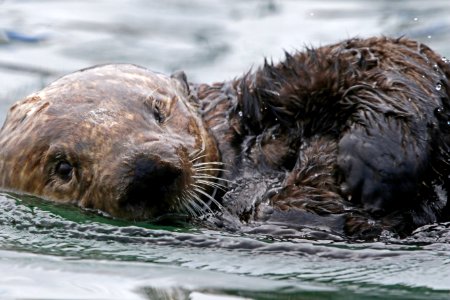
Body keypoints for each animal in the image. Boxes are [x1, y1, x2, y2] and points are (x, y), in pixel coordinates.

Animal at [0, 37, 450, 239]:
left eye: (158, 111)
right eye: (63, 168)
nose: (148, 171)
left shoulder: (259, 95)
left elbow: (383, 57)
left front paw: (377, 161)